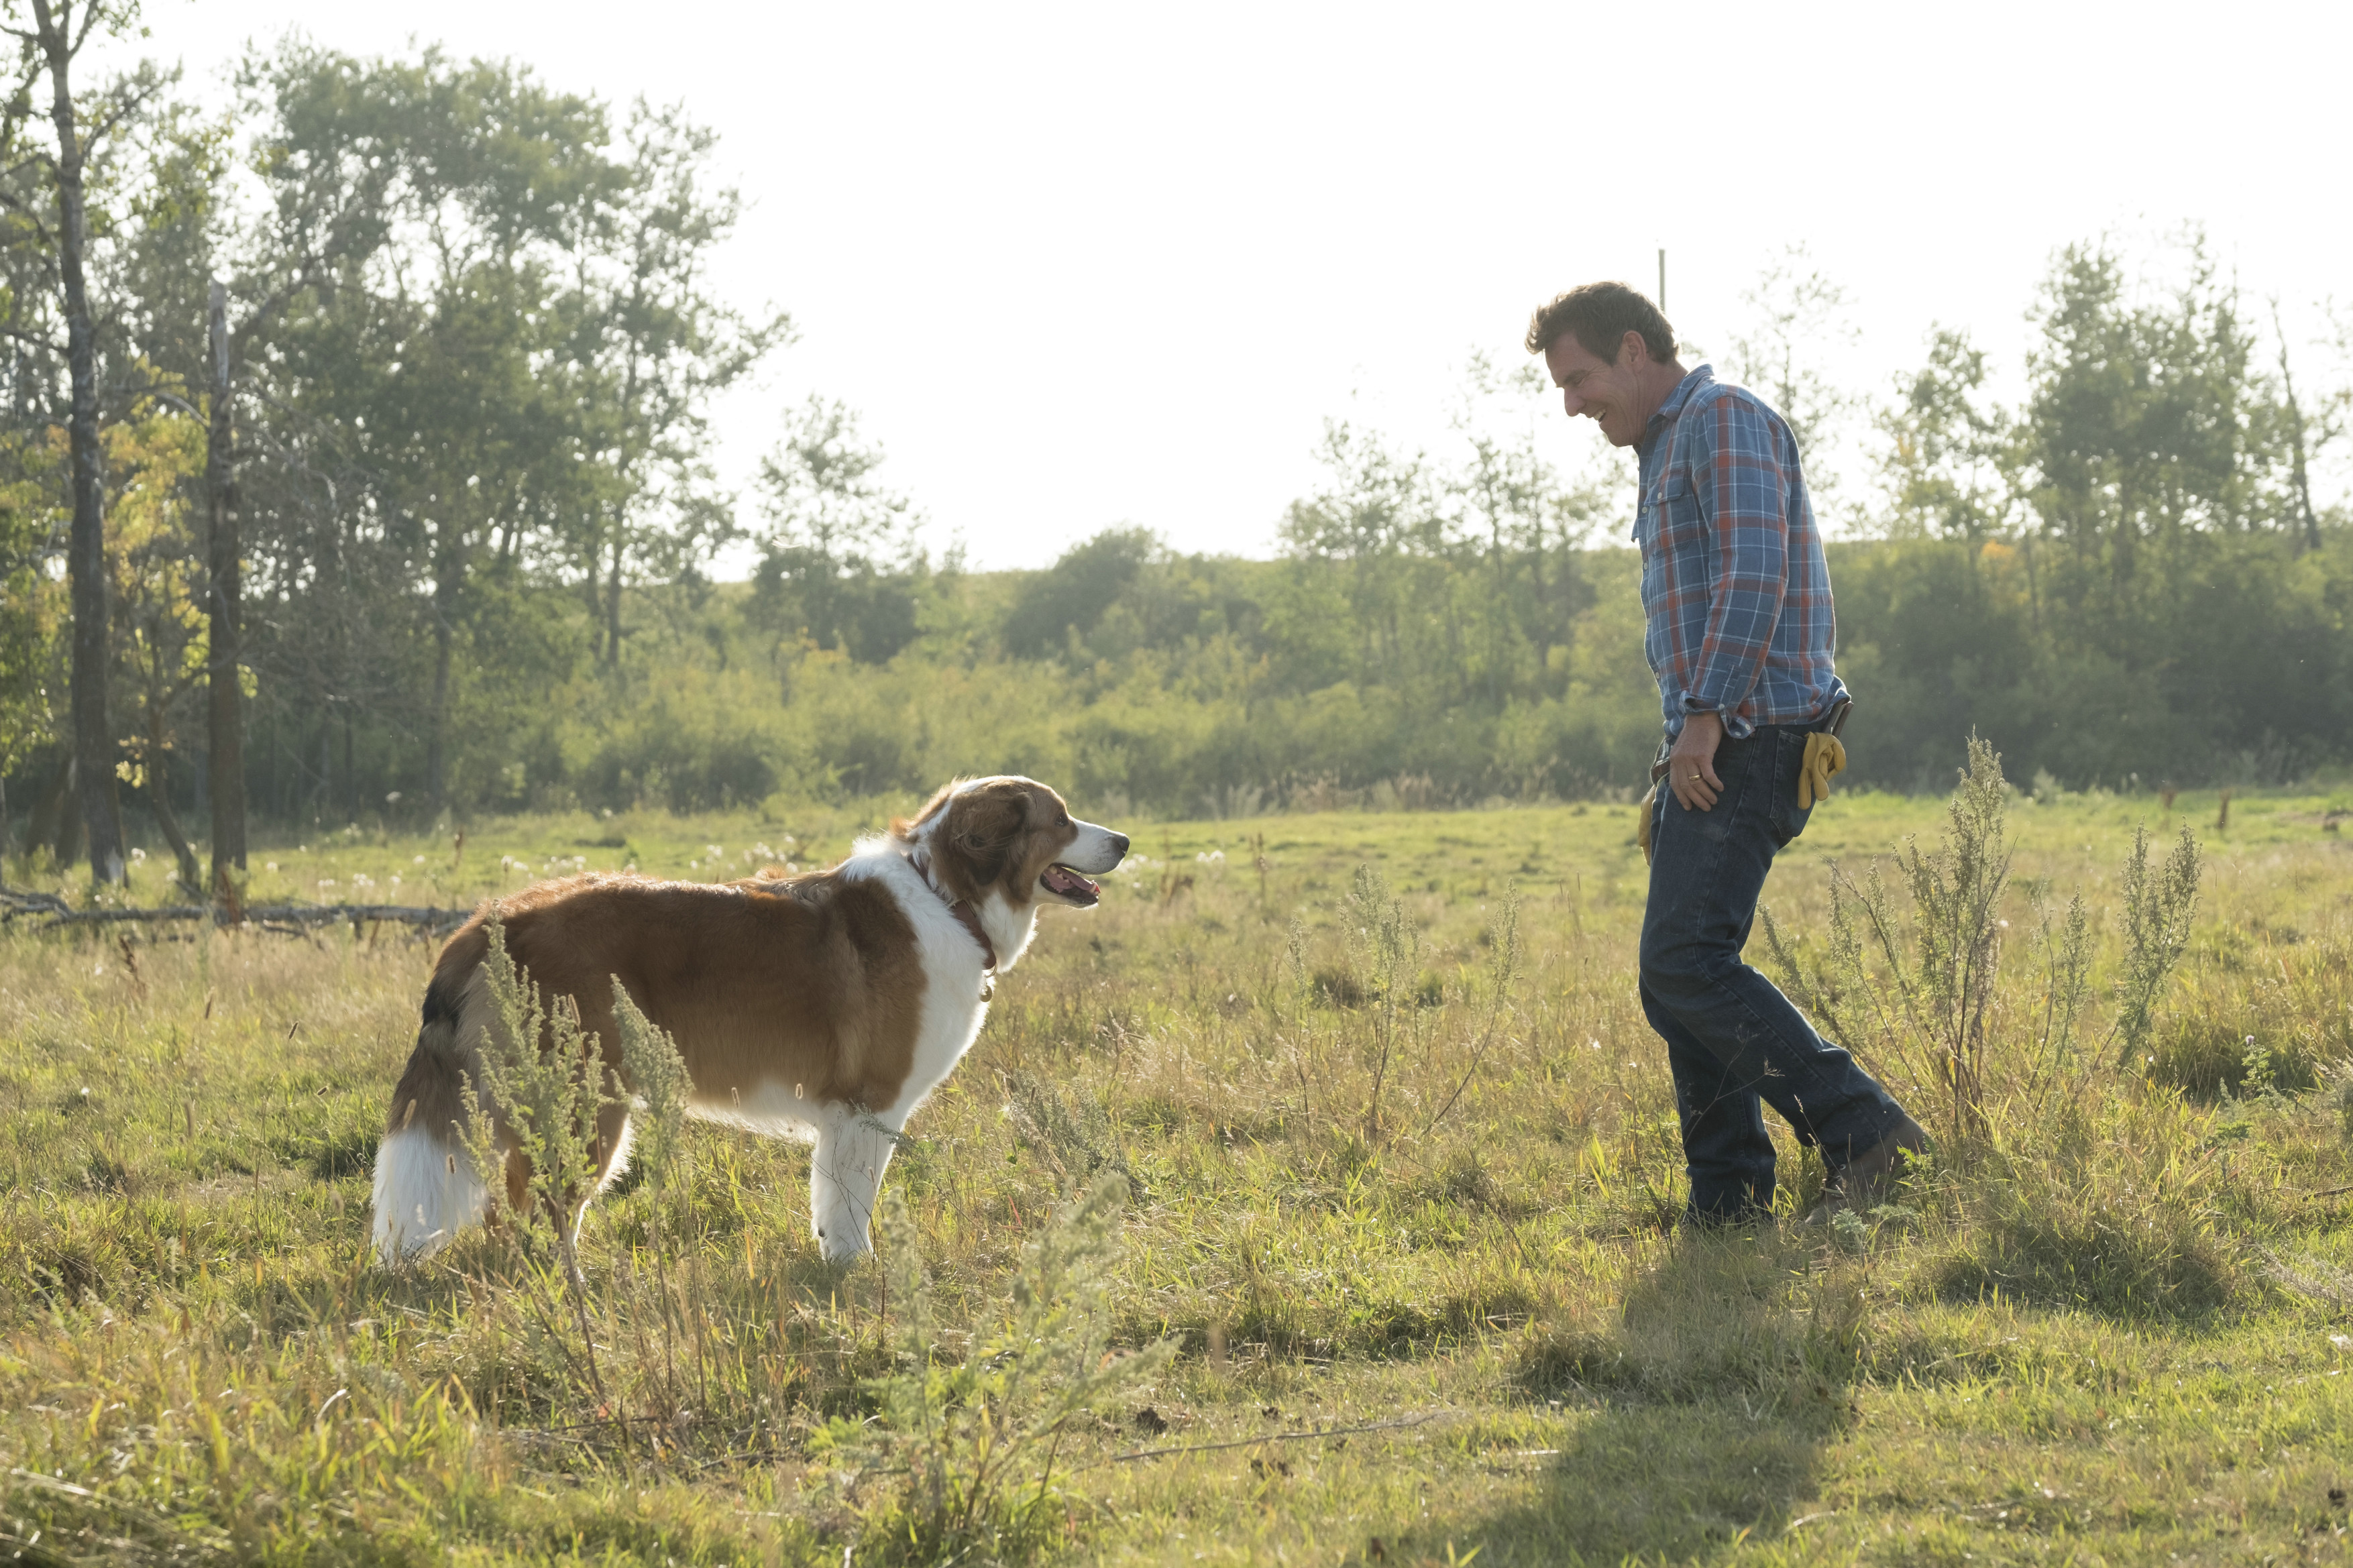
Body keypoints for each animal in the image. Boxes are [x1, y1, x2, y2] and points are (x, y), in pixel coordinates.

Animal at [372, 777, 1124, 1262]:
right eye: (1061, 820)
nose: (1122, 839)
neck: (945, 896)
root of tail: (489, 921)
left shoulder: (845, 1116)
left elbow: (832, 1204)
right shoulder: (867, 1107)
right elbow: (853, 1204)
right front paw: (858, 1271)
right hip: (587, 1108)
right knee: (533, 1209)